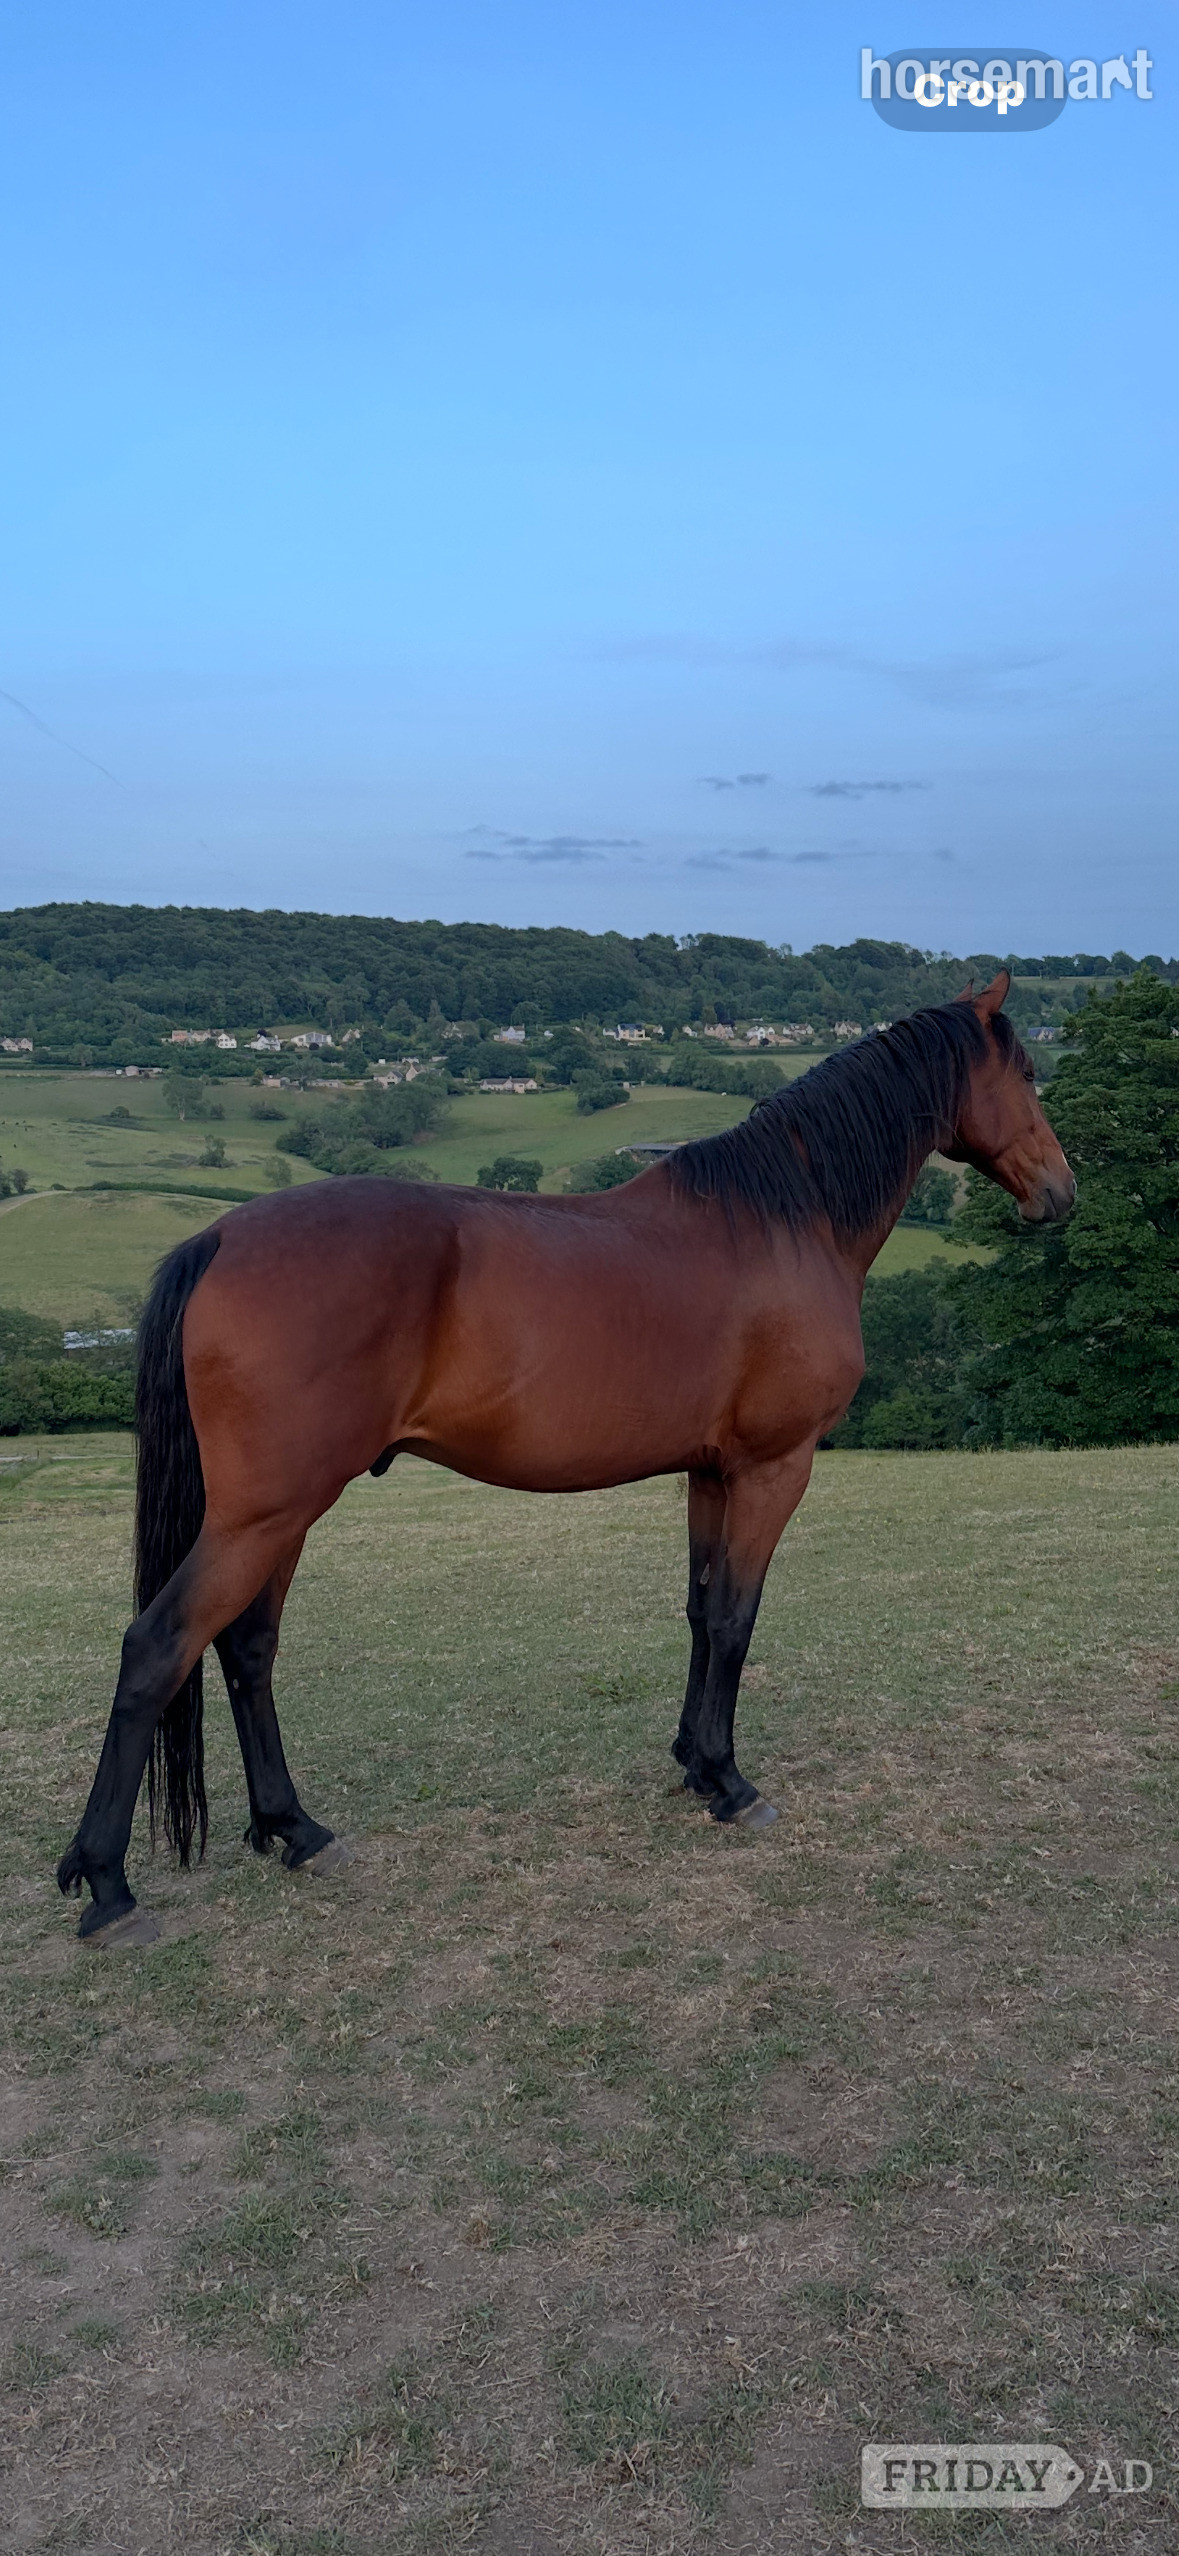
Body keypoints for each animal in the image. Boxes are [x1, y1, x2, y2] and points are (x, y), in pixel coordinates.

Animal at [57, 971, 1074, 1945]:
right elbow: (736, 1620)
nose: (1061, 1194)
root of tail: (222, 1234)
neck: (785, 1222)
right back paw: (109, 1887)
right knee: (158, 1647)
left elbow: (699, 1614)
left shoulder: (709, 1473)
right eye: (1027, 1073)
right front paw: (731, 1784)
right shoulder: (771, 1469)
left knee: (247, 1647)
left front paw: (692, 1765)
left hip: (279, 1516)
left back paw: (294, 1830)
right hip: (264, 1513)